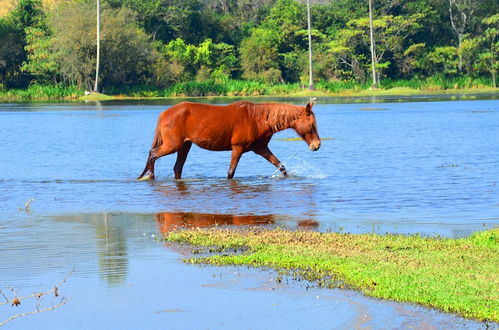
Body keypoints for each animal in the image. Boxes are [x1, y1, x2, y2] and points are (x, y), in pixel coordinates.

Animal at [139, 101, 322, 180]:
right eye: (311, 125)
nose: (317, 145)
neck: (257, 119)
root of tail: (164, 114)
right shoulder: (237, 148)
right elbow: (230, 173)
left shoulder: (261, 149)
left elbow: (281, 166)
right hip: (173, 145)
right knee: (153, 155)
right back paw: (151, 176)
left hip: (184, 146)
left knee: (177, 168)